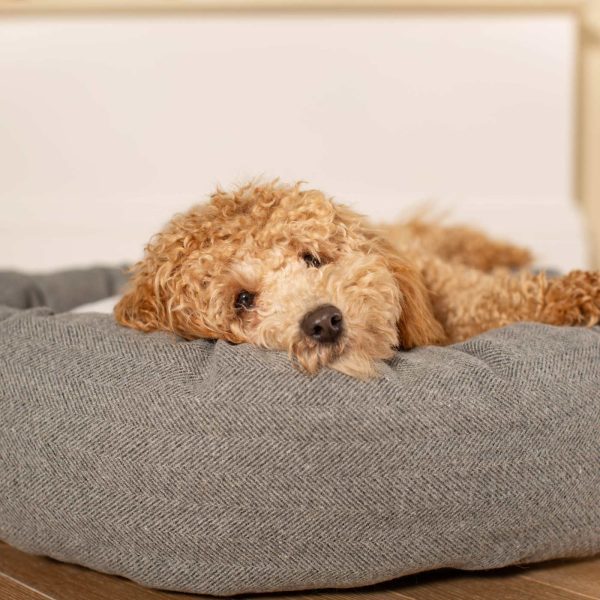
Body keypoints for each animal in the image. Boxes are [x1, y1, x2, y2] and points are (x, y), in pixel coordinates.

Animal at [113, 182, 600, 380]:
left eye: (312, 257)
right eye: (243, 300)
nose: (324, 320)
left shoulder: (443, 284)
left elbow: (498, 293)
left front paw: (580, 292)